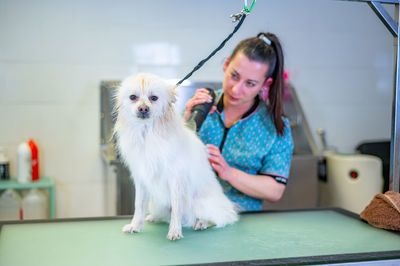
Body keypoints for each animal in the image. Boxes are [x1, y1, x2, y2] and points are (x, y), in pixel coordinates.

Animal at [114, 73, 238, 241]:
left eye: (154, 98)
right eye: (133, 97)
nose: (143, 108)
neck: (147, 134)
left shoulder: (176, 179)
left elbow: (176, 208)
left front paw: (174, 230)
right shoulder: (141, 179)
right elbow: (138, 205)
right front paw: (136, 225)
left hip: (201, 203)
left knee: (219, 217)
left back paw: (202, 222)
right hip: (156, 203)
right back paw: (155, 217)